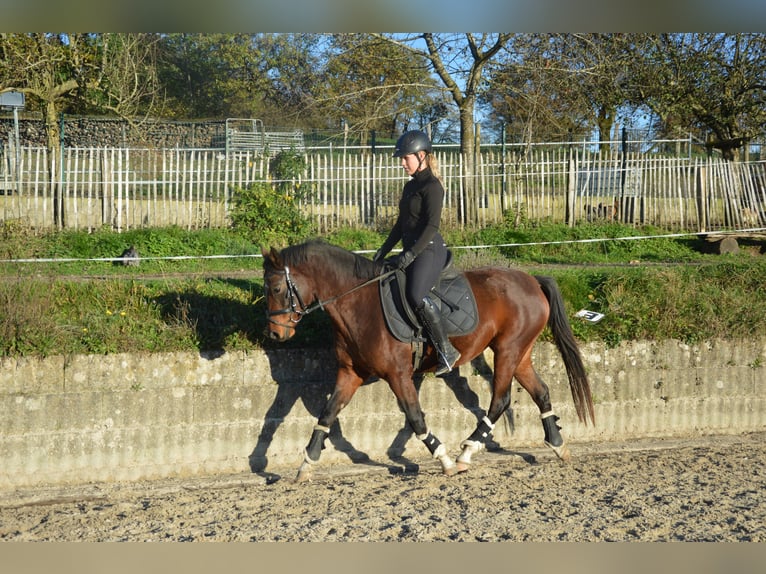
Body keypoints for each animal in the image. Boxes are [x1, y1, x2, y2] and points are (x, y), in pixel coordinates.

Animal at [260, 241, 596, 484]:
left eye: (276, 289)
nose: (276, 333)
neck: (358, 304)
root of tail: (531, 280)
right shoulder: (349, 373)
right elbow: (326, 415)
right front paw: (306, 465)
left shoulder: (398, 374)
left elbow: (415, 416)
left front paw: (444, 460)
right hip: (520, 353)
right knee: (541, 391)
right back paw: (558, 444)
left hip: (507, 350)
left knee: (499, 400)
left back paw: (466, 454)